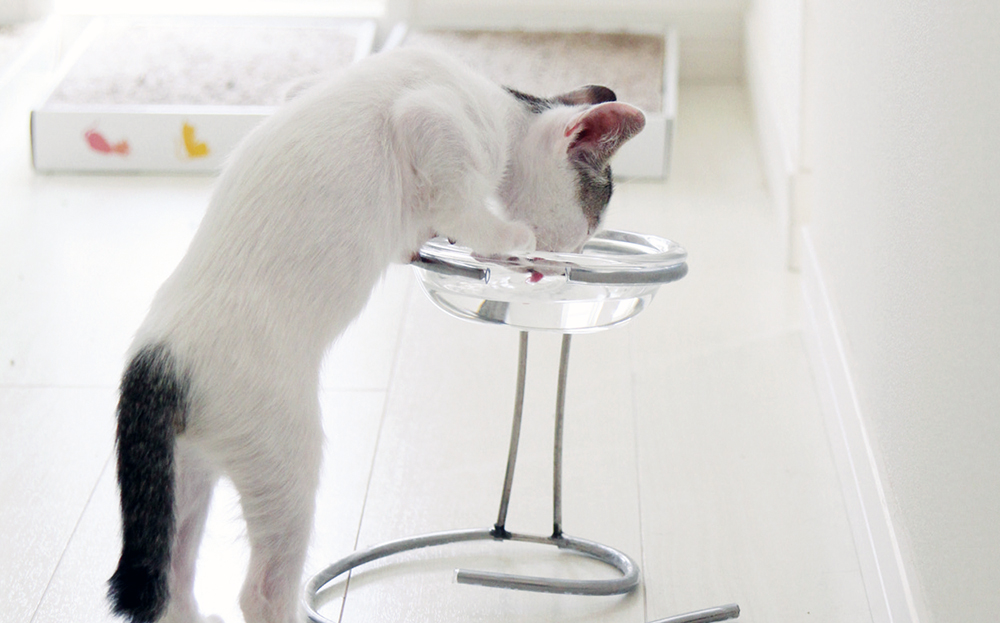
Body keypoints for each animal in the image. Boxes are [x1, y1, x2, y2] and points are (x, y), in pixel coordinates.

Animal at [107, 45, 640, 623]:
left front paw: (425, 234)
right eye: (588, 226)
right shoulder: (429, 117)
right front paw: (505, 237)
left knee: (174, 576)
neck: (502, 107)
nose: (570, 260)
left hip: (185, 475)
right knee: (260, 590)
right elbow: (462, 198)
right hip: (284, 459)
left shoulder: (305, 87)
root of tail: (156, 360)